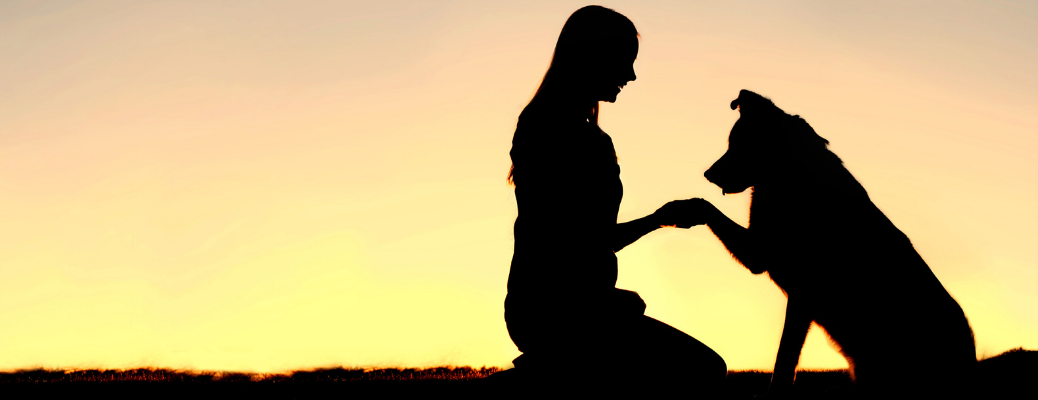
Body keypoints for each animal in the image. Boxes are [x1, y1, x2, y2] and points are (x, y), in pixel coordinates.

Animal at [672, 89, 971, 394]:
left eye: (739, 144)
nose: (708, 174)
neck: (793, 178)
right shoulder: (762, 257)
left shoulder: (791, 287)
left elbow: (784, 359)